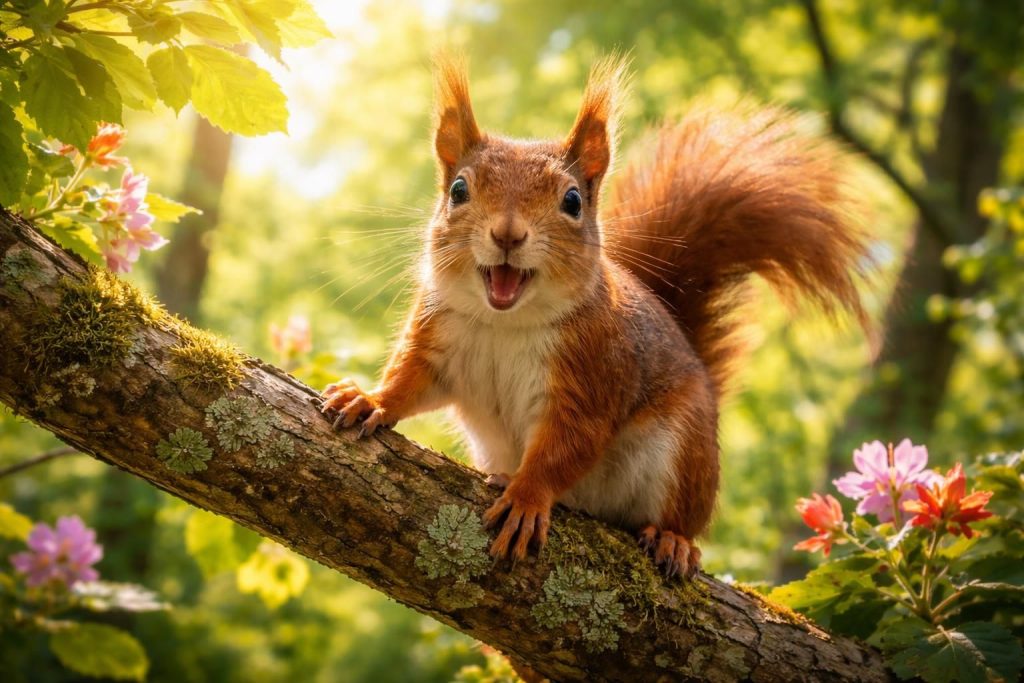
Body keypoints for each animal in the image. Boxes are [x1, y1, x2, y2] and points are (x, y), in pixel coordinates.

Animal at [320, 56, 871, 579]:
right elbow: (409, 381)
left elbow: (566, 447)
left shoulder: (593, 372)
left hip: (686, 452)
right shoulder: (436, 333)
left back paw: (672, 539)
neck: (506, 322)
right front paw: (370, 399)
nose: (507, 234)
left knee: (680, 514)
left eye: (572, 201)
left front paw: (527, 496)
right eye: (457, 190)